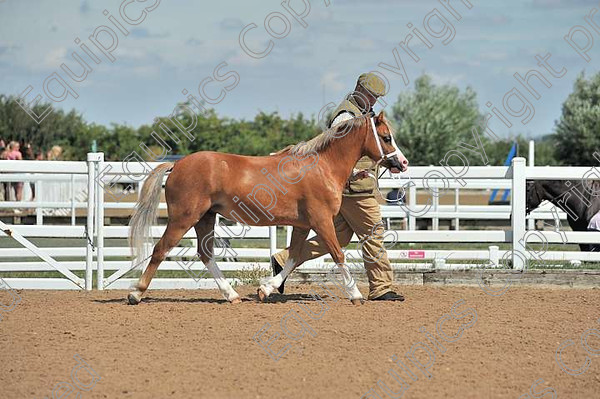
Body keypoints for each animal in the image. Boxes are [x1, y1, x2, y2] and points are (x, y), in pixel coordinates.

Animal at [126, 111, 408, 304]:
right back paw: (136, 294)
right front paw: (356, 295)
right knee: (161, 249)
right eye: (386, 137)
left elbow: (294, 258)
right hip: (183, 218)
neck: (323, 166)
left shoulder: (302, 225)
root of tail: (177, 164)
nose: (403, 163)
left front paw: (266, 289)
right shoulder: (322, 221)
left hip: (205, 218)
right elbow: (338, 254)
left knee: (205, 254)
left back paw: (231, 295)